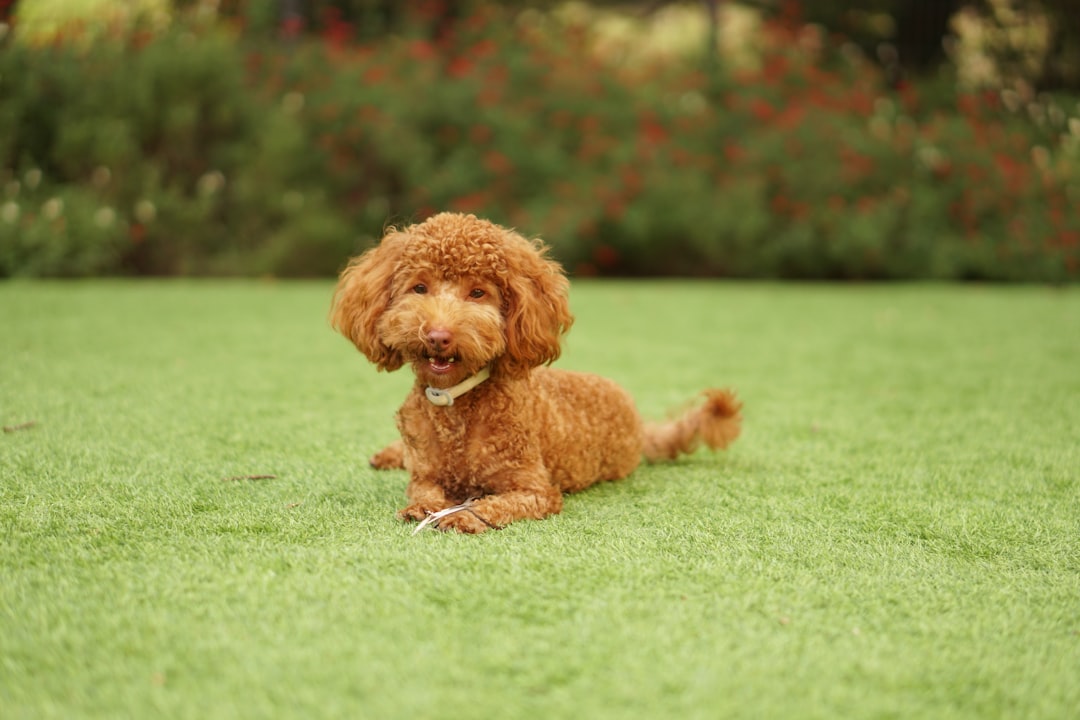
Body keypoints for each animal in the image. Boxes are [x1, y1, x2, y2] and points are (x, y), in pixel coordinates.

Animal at [328, 211, 743, 533]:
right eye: (419, 288)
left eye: (477, 293)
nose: (438, 336)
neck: (457, 404)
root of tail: (638, 422)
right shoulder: (425, 473)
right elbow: (424, 491)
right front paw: (424, 508)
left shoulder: (535, 490)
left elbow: (494, 503)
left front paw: (465, 516)